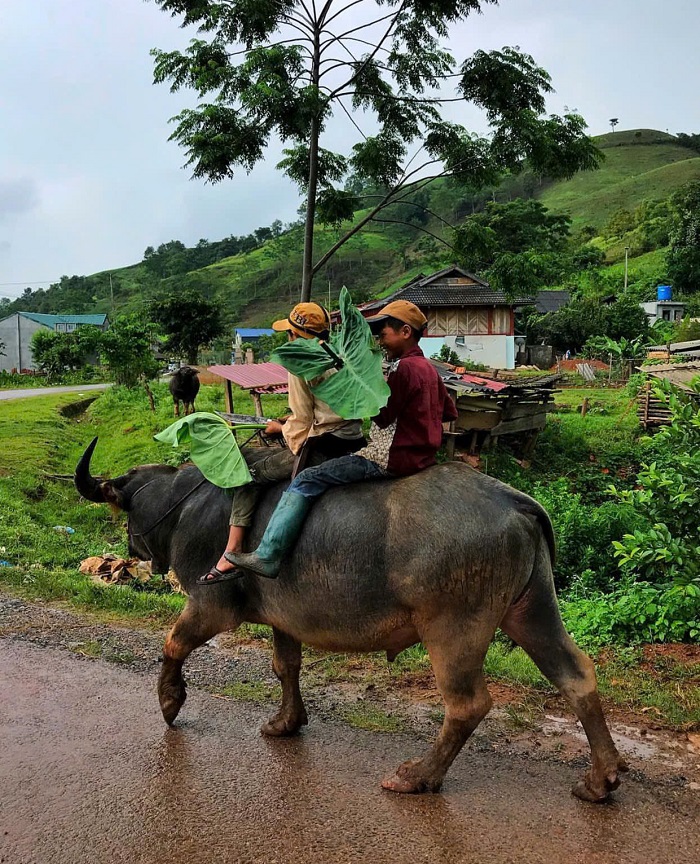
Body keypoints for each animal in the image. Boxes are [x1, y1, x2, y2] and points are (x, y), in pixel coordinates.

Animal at [74, 442, 628, 800]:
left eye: (128, 515)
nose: (133, 550)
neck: (189, 502)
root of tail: (516, 501)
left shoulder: (210, 604)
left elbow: (173, 642)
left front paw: (170, 702)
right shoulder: (285, 618)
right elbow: (285, 667)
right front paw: (286, 723)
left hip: (453, 627)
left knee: (467, 703)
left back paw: (417, 776)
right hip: (532, 608)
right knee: (576, 674)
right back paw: (600, 780)